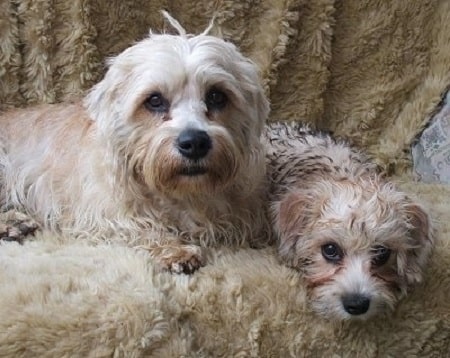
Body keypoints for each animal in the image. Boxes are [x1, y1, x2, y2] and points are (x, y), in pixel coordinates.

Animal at [0, 11, 270, 274]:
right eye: (154, 100)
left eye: (216, 96)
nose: (195, 143)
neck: (180, 194)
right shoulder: (99, 215)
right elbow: (140, 228)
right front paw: (177, 250)